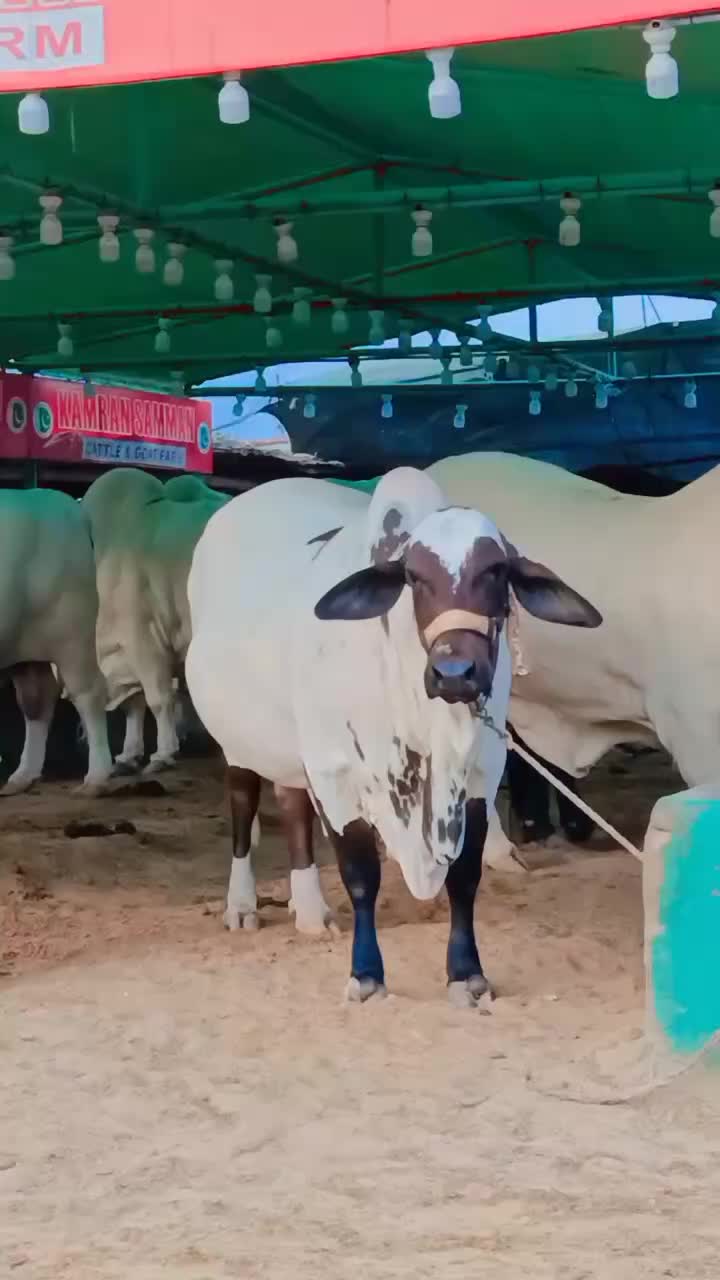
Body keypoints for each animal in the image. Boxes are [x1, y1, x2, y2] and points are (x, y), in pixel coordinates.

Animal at [0, 489, 112, 795]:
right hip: (24, 644)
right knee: (36, 698)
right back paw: (22, 776)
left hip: (72, 632)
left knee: (88, 693)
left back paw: (96, 778)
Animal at [185, 468, 600, 1003]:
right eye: (414, 577)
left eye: (496, 571)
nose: (454, 673)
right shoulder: (335, 773)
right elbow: (361, 875)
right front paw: (366, 974)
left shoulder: (481, 773)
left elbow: (465, 875)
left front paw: (466, 973)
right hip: (240, 742)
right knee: (243, 804)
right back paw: (241, 904)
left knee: (293, 806)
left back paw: (309, 909)